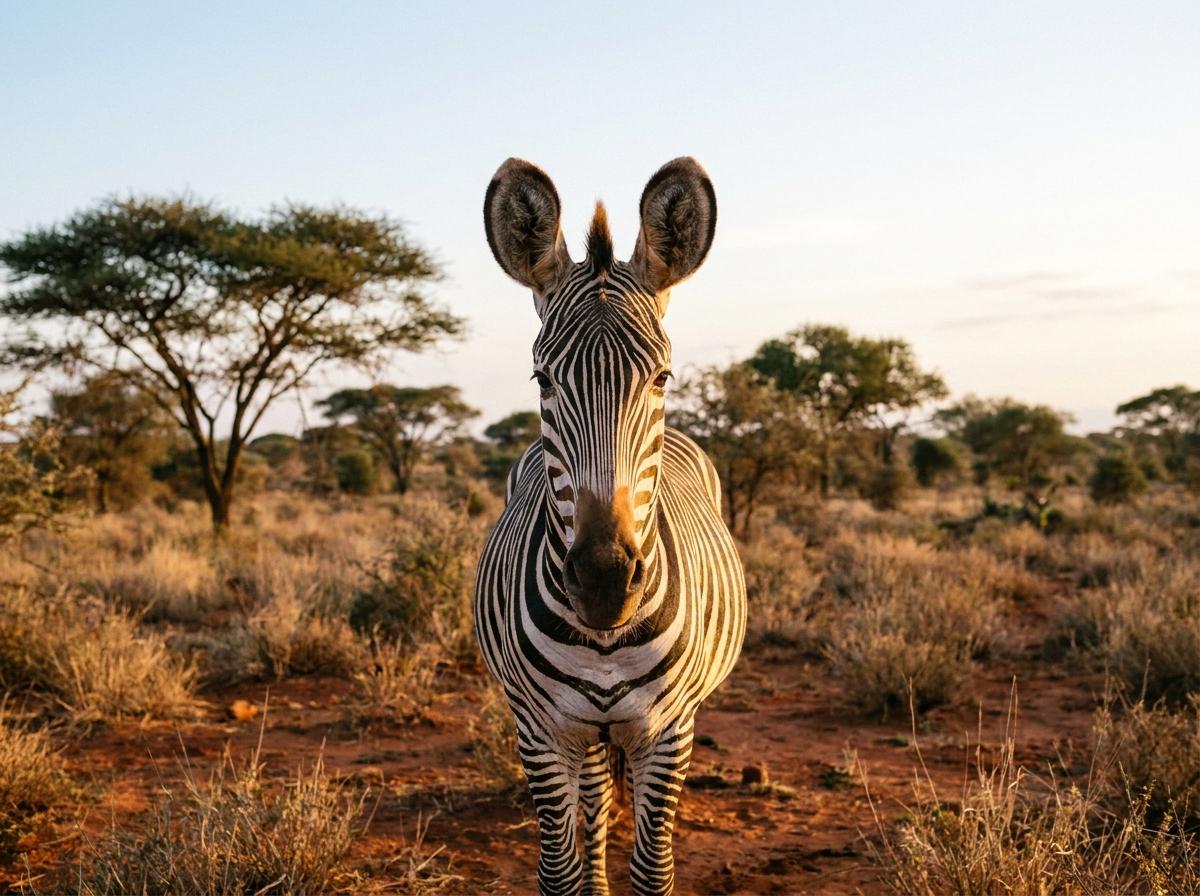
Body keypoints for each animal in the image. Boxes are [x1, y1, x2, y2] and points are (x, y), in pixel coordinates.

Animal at [475, 157, 746, 896]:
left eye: (662, 377)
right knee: (595, 806)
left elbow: (653, 872)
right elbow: (560, 872)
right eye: (541, 380)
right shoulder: (541, 733)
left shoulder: (667, 733)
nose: (603, 584)